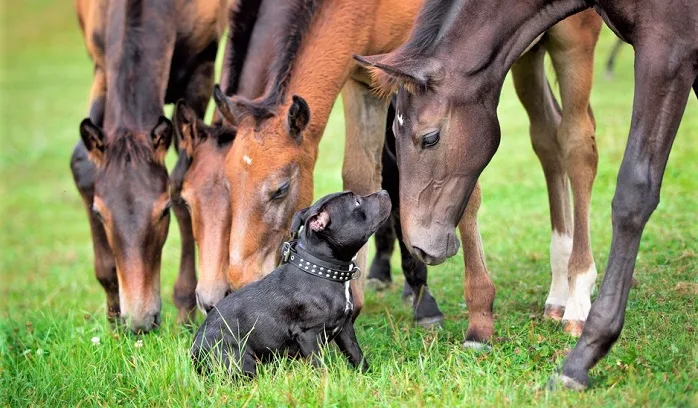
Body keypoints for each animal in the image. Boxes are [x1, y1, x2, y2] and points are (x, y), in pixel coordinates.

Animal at [70, 0, 224, 332]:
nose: (140, 321)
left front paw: (184, 312)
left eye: (163, 211)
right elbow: (83, 165)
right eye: (99, 213)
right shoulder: (101, 67)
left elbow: (181, 178)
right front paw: (113, 317)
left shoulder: (201, 69)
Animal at [190, 190, 388, 376]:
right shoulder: (309, 334)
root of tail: (194, 351)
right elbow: (319, 365)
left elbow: (356, 354)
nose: (384, 192)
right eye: (357, 202)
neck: (321, 270)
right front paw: (326, 382)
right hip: (237, 358)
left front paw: (368, 375)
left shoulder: (345, 329)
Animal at [358, 0, 696, 392]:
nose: (419, 246)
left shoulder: (667, 51)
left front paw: (582, 356)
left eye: (429, 138)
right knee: (549, 137)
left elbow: (633, 189)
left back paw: (576, 298)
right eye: (392, 138)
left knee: (577, 142)